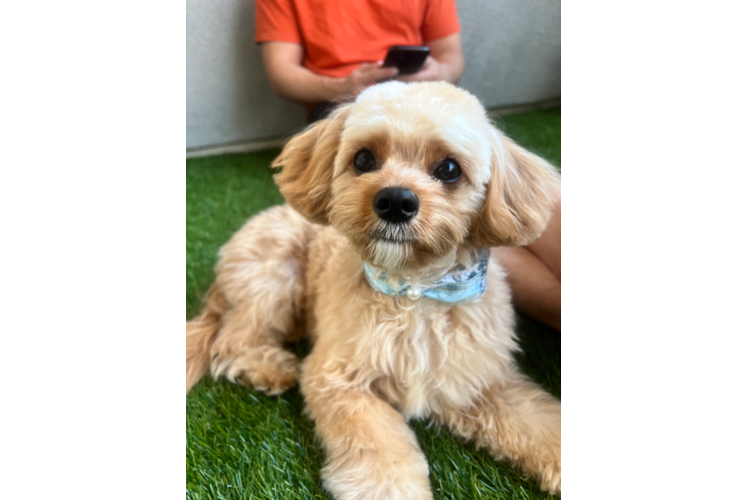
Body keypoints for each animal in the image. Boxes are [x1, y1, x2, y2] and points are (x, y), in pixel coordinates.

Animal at [186, 82, 560, 500]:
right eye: (364, 159)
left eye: (449, 169)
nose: (395, 200)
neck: (415, 290)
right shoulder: (338, 378)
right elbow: (378, 449)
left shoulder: (480, 380)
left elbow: (539, 419)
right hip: (274, 276)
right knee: (230, 341)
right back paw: (268, 367)